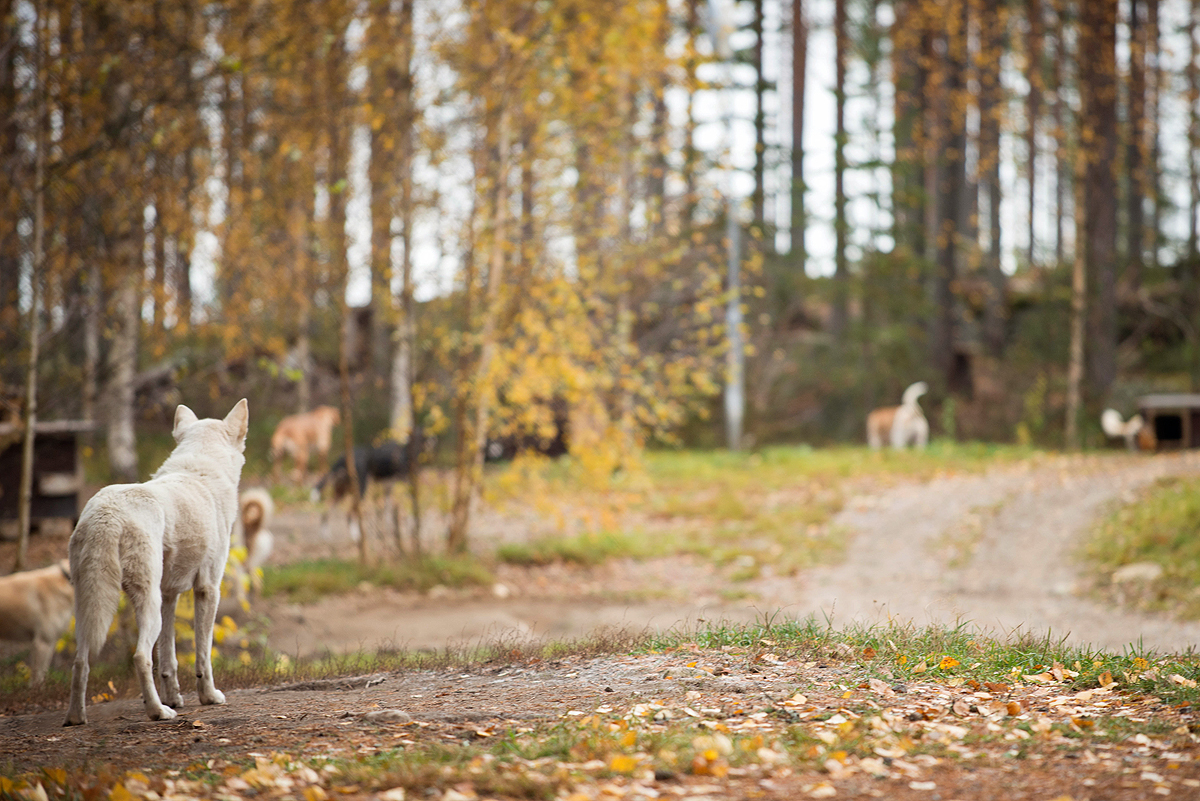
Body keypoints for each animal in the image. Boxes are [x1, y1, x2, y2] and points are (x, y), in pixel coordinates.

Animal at [63, 398, 248, 724]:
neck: (200, 473)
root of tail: (106, 514)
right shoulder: (208, 590)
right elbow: (203, 655)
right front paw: (208, 697)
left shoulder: (169, 595)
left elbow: (168, 660)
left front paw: (175, 698)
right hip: (147, 604)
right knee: (139, 656)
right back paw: (157, 712)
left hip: (90, 607)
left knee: (80, 661)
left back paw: (76, 718)